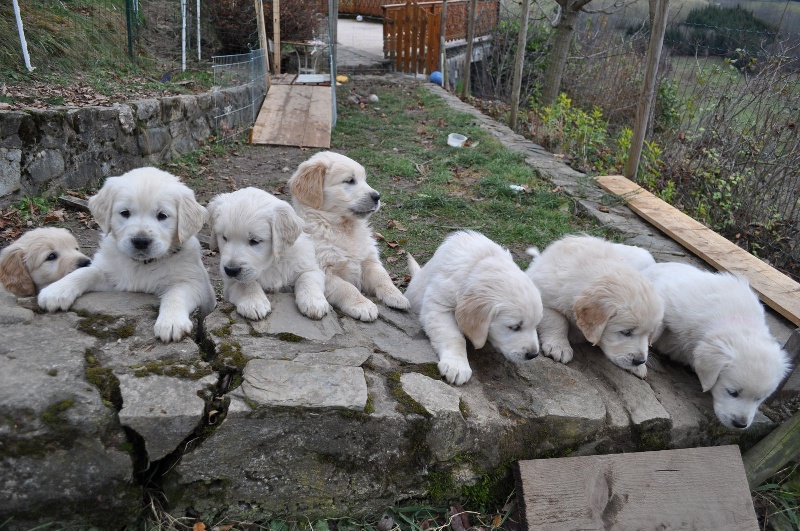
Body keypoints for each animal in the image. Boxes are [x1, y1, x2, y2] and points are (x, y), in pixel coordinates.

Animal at [209, 187, 332, 320]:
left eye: (254, 241)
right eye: (224, 238)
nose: (231, 270)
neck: (271, 264)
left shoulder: (309, 266)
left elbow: (308, 277)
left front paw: (314, 302)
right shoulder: (230, 282)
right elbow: (245, 283)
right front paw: (253, 302)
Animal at [288, 152, 410, 322]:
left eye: (364, 179)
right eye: (350, 180)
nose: (377, 196)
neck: (341, 228)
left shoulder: (369, 260)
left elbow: (382, 276)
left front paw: (396, 296)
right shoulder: (325, 270)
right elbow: (347, 287)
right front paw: (363, 305)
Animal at [406, 231, 544, 384]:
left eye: (536, 325)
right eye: (514, 327)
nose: (533, 354)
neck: (479, 262)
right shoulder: (438, 306)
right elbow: (453, 336)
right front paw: (457, 365)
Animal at [524, 236, 664, 378]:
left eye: (649, 334)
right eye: (626, 332)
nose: (639, 360)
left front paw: (639, 367)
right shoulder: (543, 297)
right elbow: (557, 321)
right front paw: (559, 346)